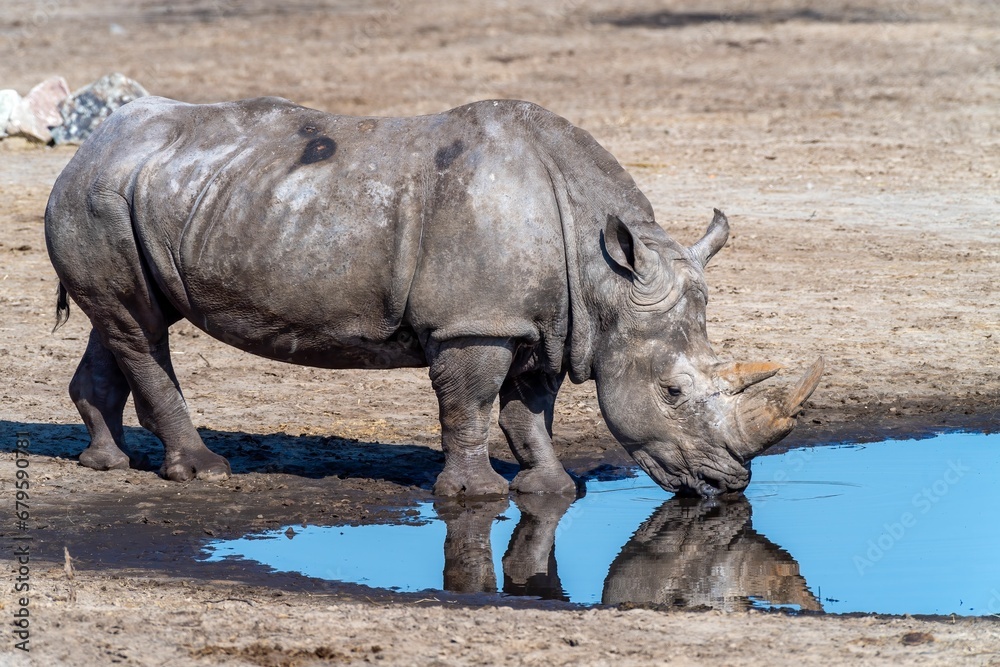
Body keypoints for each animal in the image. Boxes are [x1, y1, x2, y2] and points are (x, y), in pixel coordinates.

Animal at [45, 96, 823, 497]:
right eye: (672, 392)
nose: (730, 483)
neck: (605, 275)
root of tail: (87, 145)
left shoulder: (542, 320)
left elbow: (529, 410)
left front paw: (552, 490)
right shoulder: (473, 322)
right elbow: (471, 405)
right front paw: (476, 495)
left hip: (128, 195)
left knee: (125, 320)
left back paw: (106, 463)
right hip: (99, 195)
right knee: (142, 328)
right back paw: (203, 471)